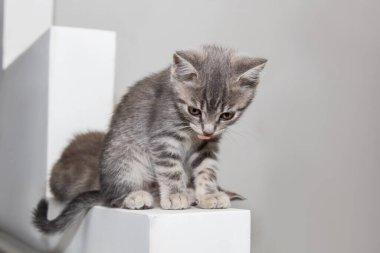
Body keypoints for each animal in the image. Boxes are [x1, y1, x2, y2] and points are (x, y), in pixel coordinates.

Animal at [31, 44, 268, 234]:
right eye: (194, 110)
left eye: (227, 115)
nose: (208, 130)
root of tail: (103, 187)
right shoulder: (163, 137)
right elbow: (171, 170)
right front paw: (175, 195)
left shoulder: (206, 145)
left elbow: (207, 169)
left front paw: (209, 194)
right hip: (123, 157)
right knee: (113, 198)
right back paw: (136, 196)